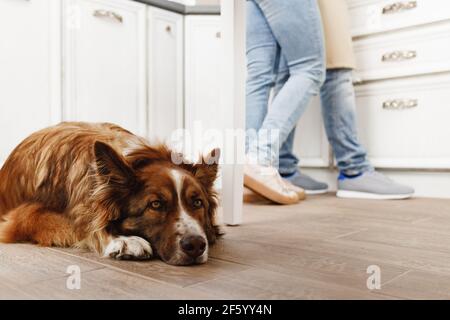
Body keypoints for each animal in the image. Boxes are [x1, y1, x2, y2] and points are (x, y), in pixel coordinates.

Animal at [0, 122, 221, 264]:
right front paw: (123, 240)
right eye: (155, 205)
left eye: (198, 203)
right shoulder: (23, 216)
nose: (196, 245)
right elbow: (83, 225)